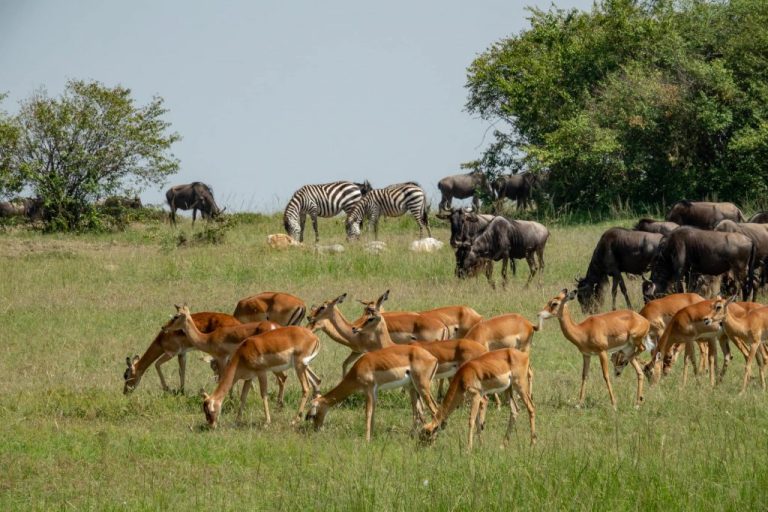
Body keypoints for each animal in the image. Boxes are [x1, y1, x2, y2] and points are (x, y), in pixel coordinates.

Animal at [305, 344, 440, 441]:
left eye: (313, 414)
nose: (316, 429)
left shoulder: (368, 390)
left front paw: (366, 440)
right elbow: (373, 413)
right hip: (413, 388)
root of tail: (434, 358)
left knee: (434, 409)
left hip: (422, 387)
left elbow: (368, 413)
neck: (358, 369)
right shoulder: (374, 392)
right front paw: (372, 437)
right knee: (418, 412)